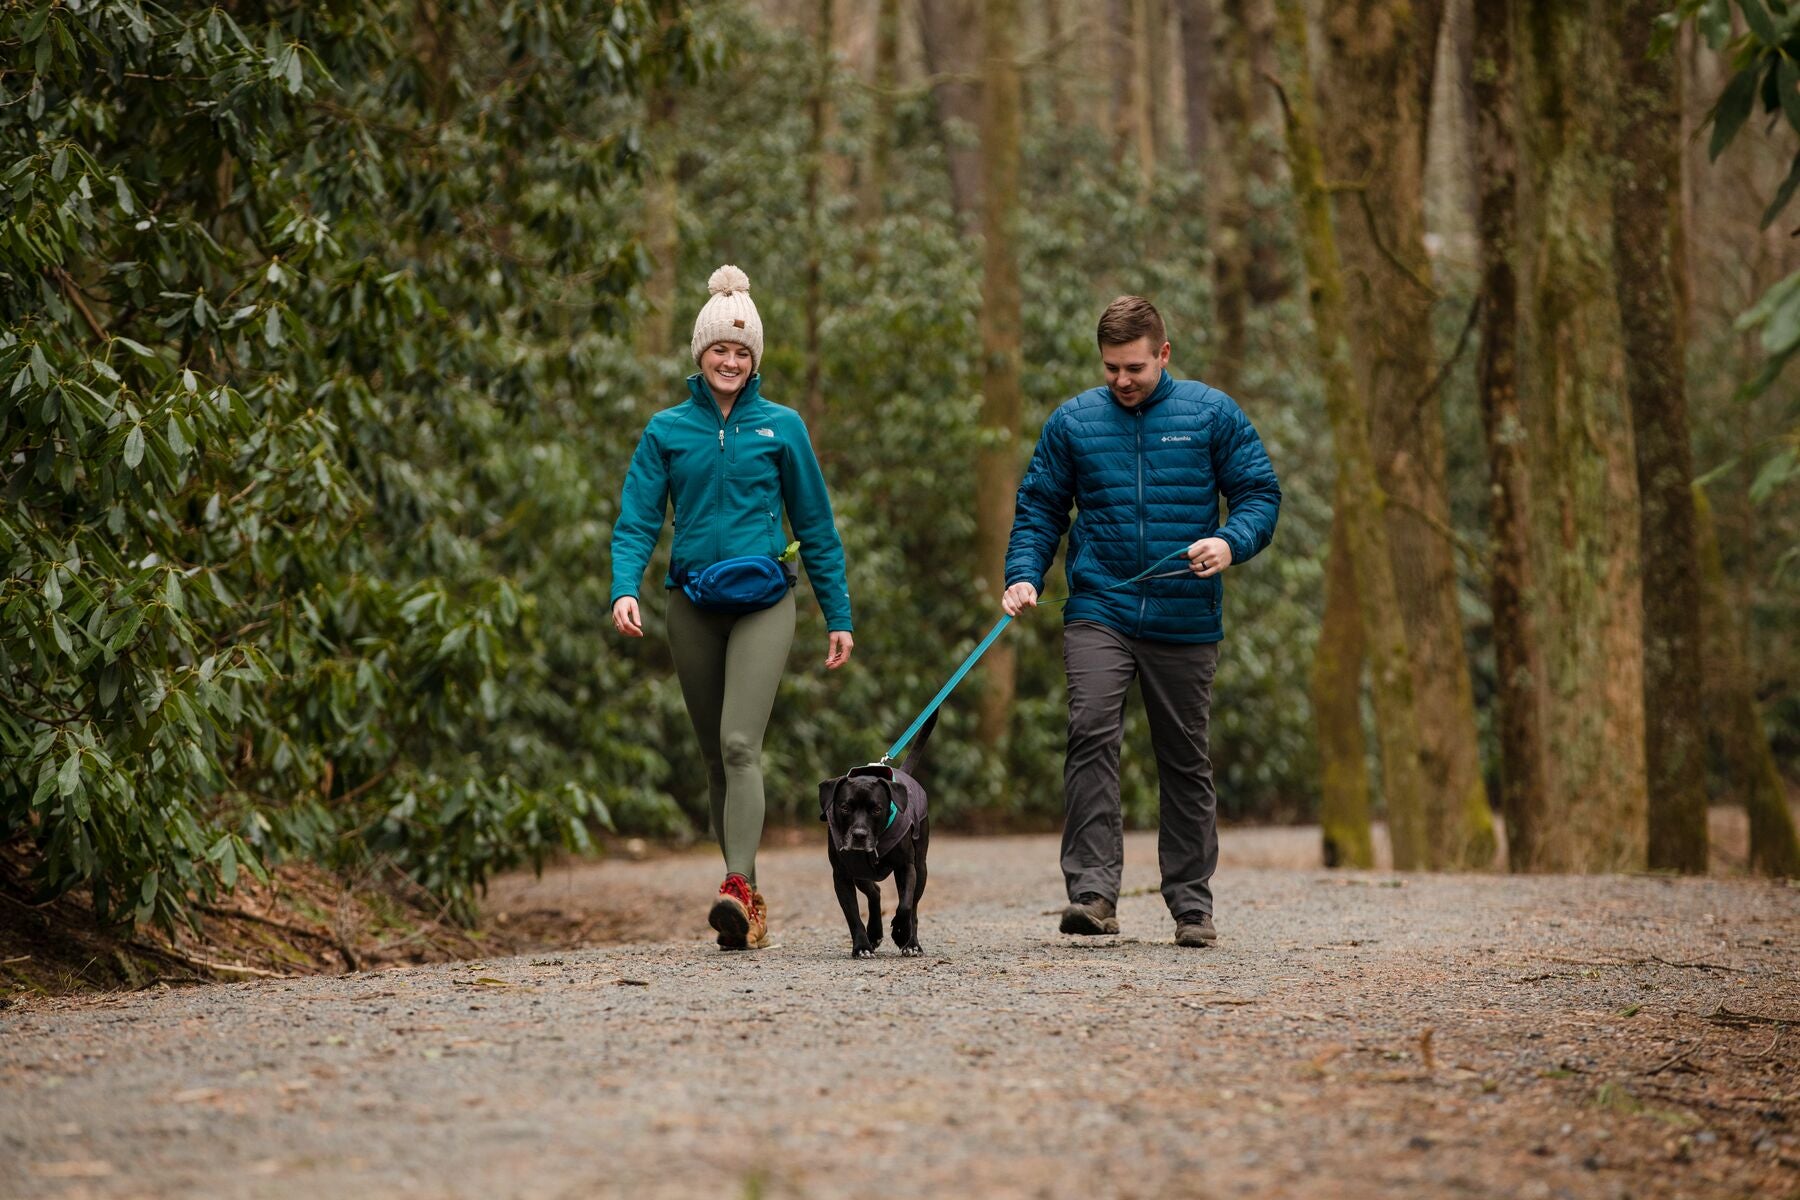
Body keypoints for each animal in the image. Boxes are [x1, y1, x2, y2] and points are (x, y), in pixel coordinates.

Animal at [820, 712, 943, 957]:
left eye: (876, 809)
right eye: (844, 807)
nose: (859, 835)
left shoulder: (907, 868)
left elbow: (905, 906)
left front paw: (900, 933)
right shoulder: (842, 875)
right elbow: (852, 915)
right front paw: (862, 947)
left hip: (921, 868)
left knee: (913, 907)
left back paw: (911, 942)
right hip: (860, 872)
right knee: (874, 891)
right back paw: (874, 933)